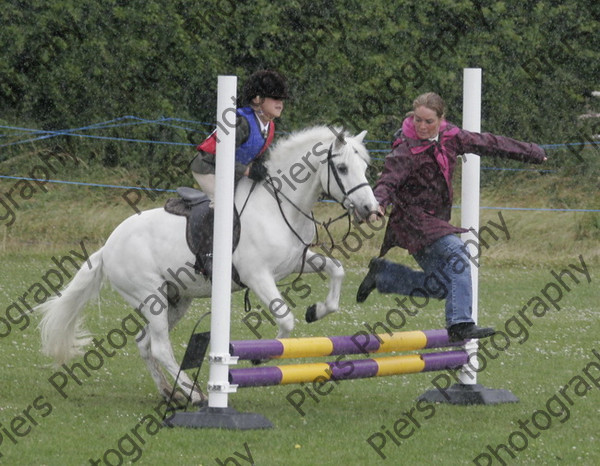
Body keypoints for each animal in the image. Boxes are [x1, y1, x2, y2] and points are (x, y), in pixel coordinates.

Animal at [37, 125, 378, 402]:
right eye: (342, 168)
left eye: (365, 166)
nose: (370, 209)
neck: (280, 205)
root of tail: (108, 246)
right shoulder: (258, 276)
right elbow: (285, 320)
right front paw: (260, 358)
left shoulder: (297, 262)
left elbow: (336, 270)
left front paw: (317, 310)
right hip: (150, 296)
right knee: (159, 346)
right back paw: (195, 393)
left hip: (176, 298)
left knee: (145, 343)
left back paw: (171, 392)